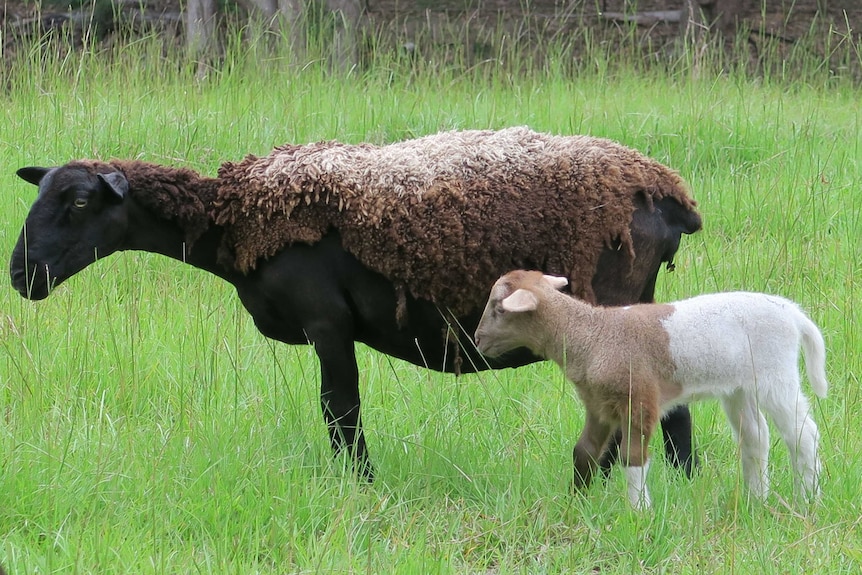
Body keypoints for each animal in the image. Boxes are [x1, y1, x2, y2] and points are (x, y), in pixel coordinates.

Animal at [10, 127, 704, 482]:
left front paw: (360, 485)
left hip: (613, 299)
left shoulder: (326, 320)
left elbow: (340, 410)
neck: (235, 220)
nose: (22, 275)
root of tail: (670, 195)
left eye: (79, 203)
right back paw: (681, 487)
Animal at [472, 270, 832, 508]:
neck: (590, 334)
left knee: (803, 434)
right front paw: (576, 503)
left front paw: (639, 511)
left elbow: (632, 458)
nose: (477, 339)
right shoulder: (598, 405)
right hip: (739, 387)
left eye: (499, 309)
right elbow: (584, 451)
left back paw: (808, 499)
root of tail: (793, 314)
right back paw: (755, 499)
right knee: (756, 437)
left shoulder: (640, 399)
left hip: (776, 374)